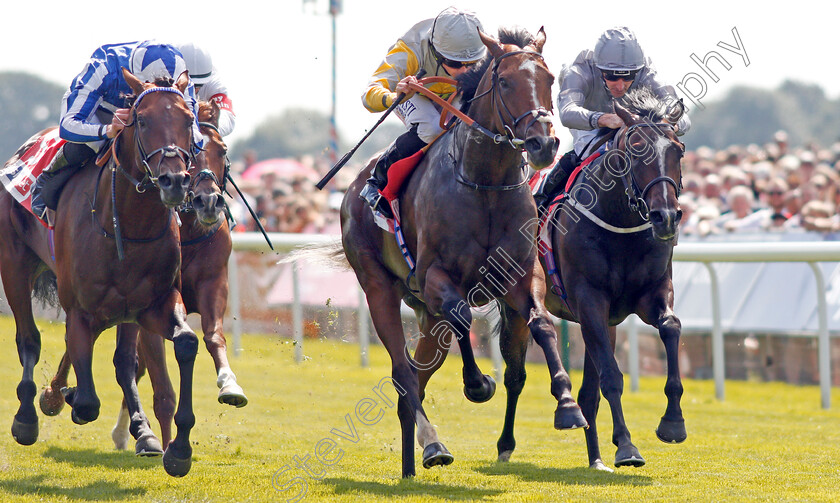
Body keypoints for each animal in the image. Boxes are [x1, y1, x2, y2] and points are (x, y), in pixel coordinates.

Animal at [0, 70, 200, 476]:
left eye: (189, 120)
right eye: (142, 121)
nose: (174, 181)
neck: (128, 222)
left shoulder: (152, 304)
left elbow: (185, 344)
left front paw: (178, 449)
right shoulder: (79, 308)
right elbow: (87, 399)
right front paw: (66, 396)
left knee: (121, 360)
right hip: (14, 264)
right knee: (29, 339)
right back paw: (28, 416)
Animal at [37, 102, 244, 452]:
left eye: (223, 150)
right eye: (193, 154)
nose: (208, 202)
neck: (188, 233)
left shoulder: (211, 282)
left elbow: (213, 334)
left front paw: (229, 385)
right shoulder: (146, 307)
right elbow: (158, 382)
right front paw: (159, 438)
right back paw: (60, 395)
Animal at [338, 28, 588, 480]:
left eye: (550, 80)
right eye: (504, 82)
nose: (543, 143)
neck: (484, 182)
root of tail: (350, 189)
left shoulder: (521, 276)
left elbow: (542, 323)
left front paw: (567, 404)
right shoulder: (435, 277)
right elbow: (462, 316)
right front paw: (477, 384)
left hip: (426, 315)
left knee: (415, 378)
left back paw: (414, 459)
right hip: (379, 286)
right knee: (403, 372)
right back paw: (433, 446)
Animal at [496, 87, 684, 472]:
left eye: (679, 150)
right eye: (635, 150)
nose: (666, 217)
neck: (620, 224)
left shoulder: (651, 295)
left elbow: (671, 327)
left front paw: (673, 422)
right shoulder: (590, 300)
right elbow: (611, 378)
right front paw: (627, 446)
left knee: (587, 393)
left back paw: (596, 458)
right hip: (517, 305)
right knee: (515, 376)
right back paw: (506, 445)